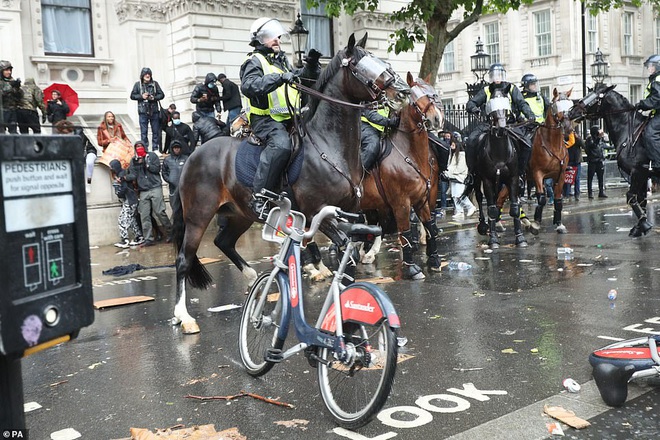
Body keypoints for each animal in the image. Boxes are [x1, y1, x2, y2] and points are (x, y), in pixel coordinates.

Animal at [169, 34, 412, 334]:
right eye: (359, 65)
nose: (402, 92)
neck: (329, 147)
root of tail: (192, 156)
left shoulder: (348, 214)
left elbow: (349, 251)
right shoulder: (318, 212)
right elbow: (345, 249)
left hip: (240, 214)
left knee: (223, 242)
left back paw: (251, 277)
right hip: (198, 216)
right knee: (184, 260)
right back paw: (184, 316)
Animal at [358, 72, 446, 278]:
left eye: (433, 92)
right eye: (414, 99)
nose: (437, 119)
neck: (410, 154)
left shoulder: (422, 199)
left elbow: (429, 225)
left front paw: (434, 259)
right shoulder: (401, 202)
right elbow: (404, 231)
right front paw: (412, 268)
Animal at [474, 91, 524, 249]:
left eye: (507, 103)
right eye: (491, 105)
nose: (501, 129)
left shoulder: (512, 178)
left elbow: (514, 208)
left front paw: (520, 238)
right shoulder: (487, 180)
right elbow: (491, 209)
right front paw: (493, 240)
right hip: (476, 178)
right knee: (479, 198)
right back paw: (483, 226)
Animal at [568, 84, 656, 239]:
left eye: (592, 97)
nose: (571, 112)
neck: (629, 131)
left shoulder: (638, 172)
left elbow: (631, 197)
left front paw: (644, 224)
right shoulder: (643, 175)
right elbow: (641, 200)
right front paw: (639, 227)